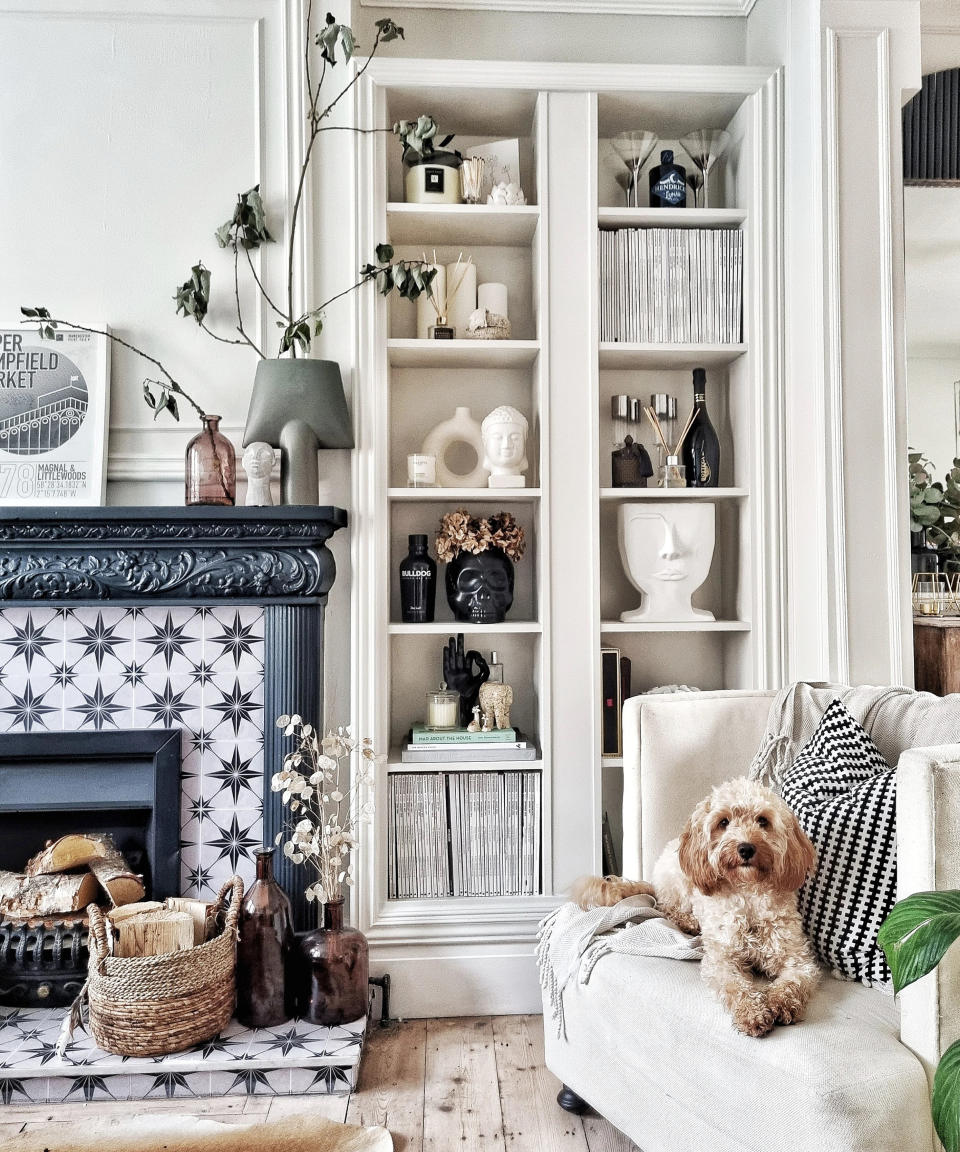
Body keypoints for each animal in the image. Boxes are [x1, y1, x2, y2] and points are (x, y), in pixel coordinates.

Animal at [573, 778, 820, 1041]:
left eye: (763, 820)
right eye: (724, 822)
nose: (746, 848)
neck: (748, 896)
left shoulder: (798, 959)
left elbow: (792, 983)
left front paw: (779, 1003)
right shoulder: (722, 959)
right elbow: (737, 987)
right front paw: (751, 1012)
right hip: (679, 883)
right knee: (665, 906)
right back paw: (689, 922)